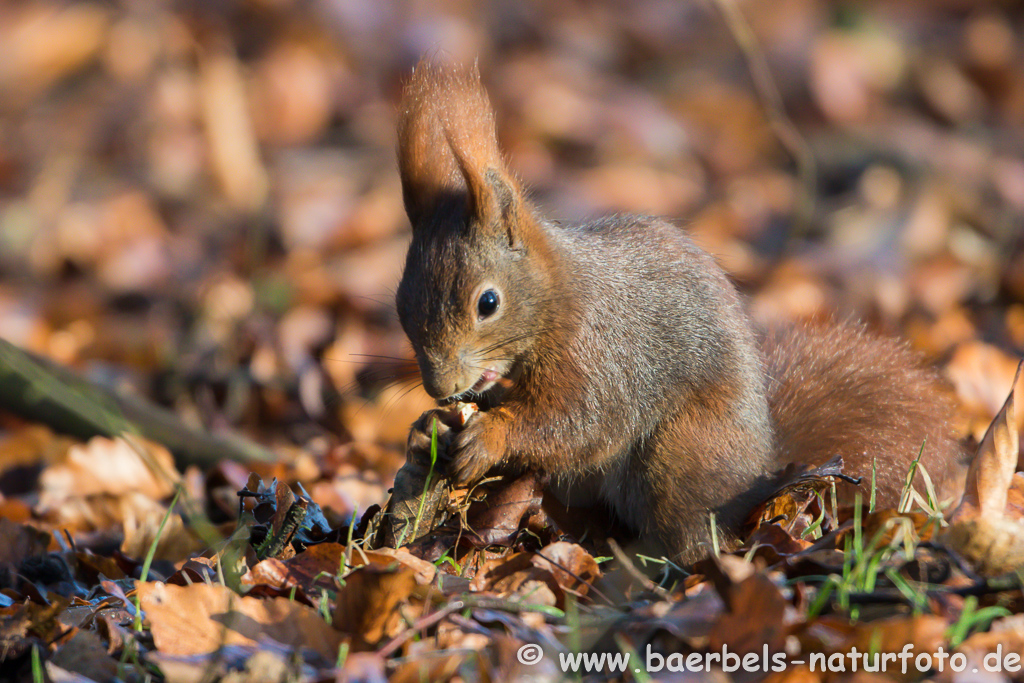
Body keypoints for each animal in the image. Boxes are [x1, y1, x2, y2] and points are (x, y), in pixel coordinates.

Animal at [391, 61, 966, 565]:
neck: (561, 299)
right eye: (400, 302)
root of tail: (759, 470)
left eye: (488, 303)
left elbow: (576, 422)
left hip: (682, 451)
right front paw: (426, 429)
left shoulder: (601, 355)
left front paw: (489, 436)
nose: (440, 387)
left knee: (699, 535)